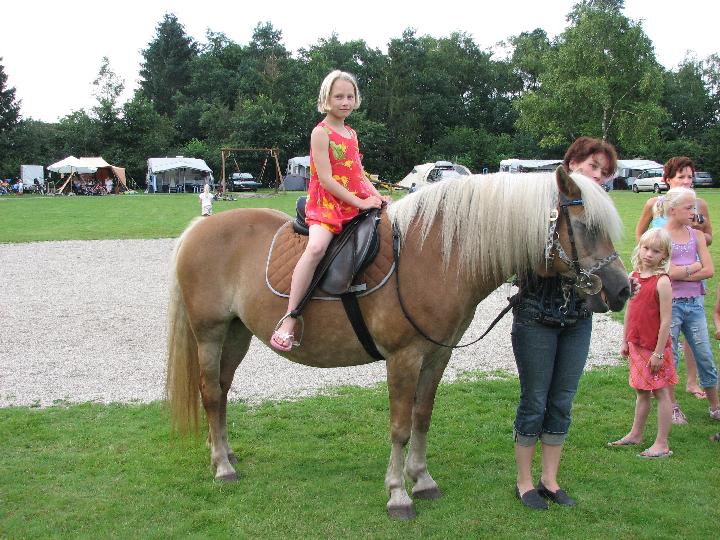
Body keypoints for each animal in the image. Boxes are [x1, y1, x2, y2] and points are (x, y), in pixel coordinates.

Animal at [165, 166, 630, 520]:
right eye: (586, 227)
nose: (622, 290)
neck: (436, 257)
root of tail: (199, 227)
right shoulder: (403, 360)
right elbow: (400, 427)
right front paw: (398, 494)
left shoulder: (436, 356)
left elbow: (422, 418)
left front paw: (421, 479)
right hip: (210, 333)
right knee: (210, 394)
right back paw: (222, 467)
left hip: (236, 333)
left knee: (222, 392)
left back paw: (225, 453)